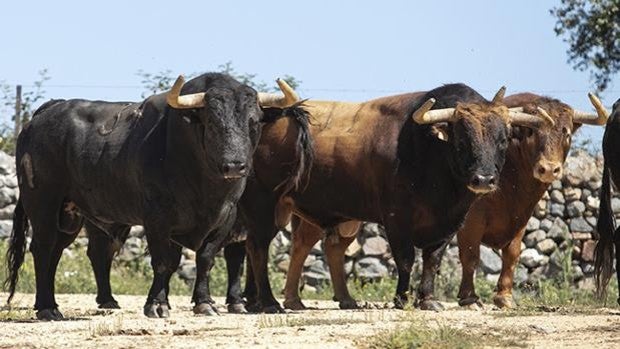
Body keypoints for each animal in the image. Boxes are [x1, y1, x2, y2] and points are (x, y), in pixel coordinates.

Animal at [4, 72, 312, 320]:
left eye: (254, 122)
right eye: (211, 122)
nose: (235, 166)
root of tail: (46, 111)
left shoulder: (226, 218)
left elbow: (205, 259)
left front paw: (204, 303)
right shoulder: (157, 218)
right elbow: (163, 261)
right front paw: (157, 305)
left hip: (69, 215)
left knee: (58, 252)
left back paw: (57, 303)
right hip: (43, 203)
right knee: (43, 249)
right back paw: (47, 308)